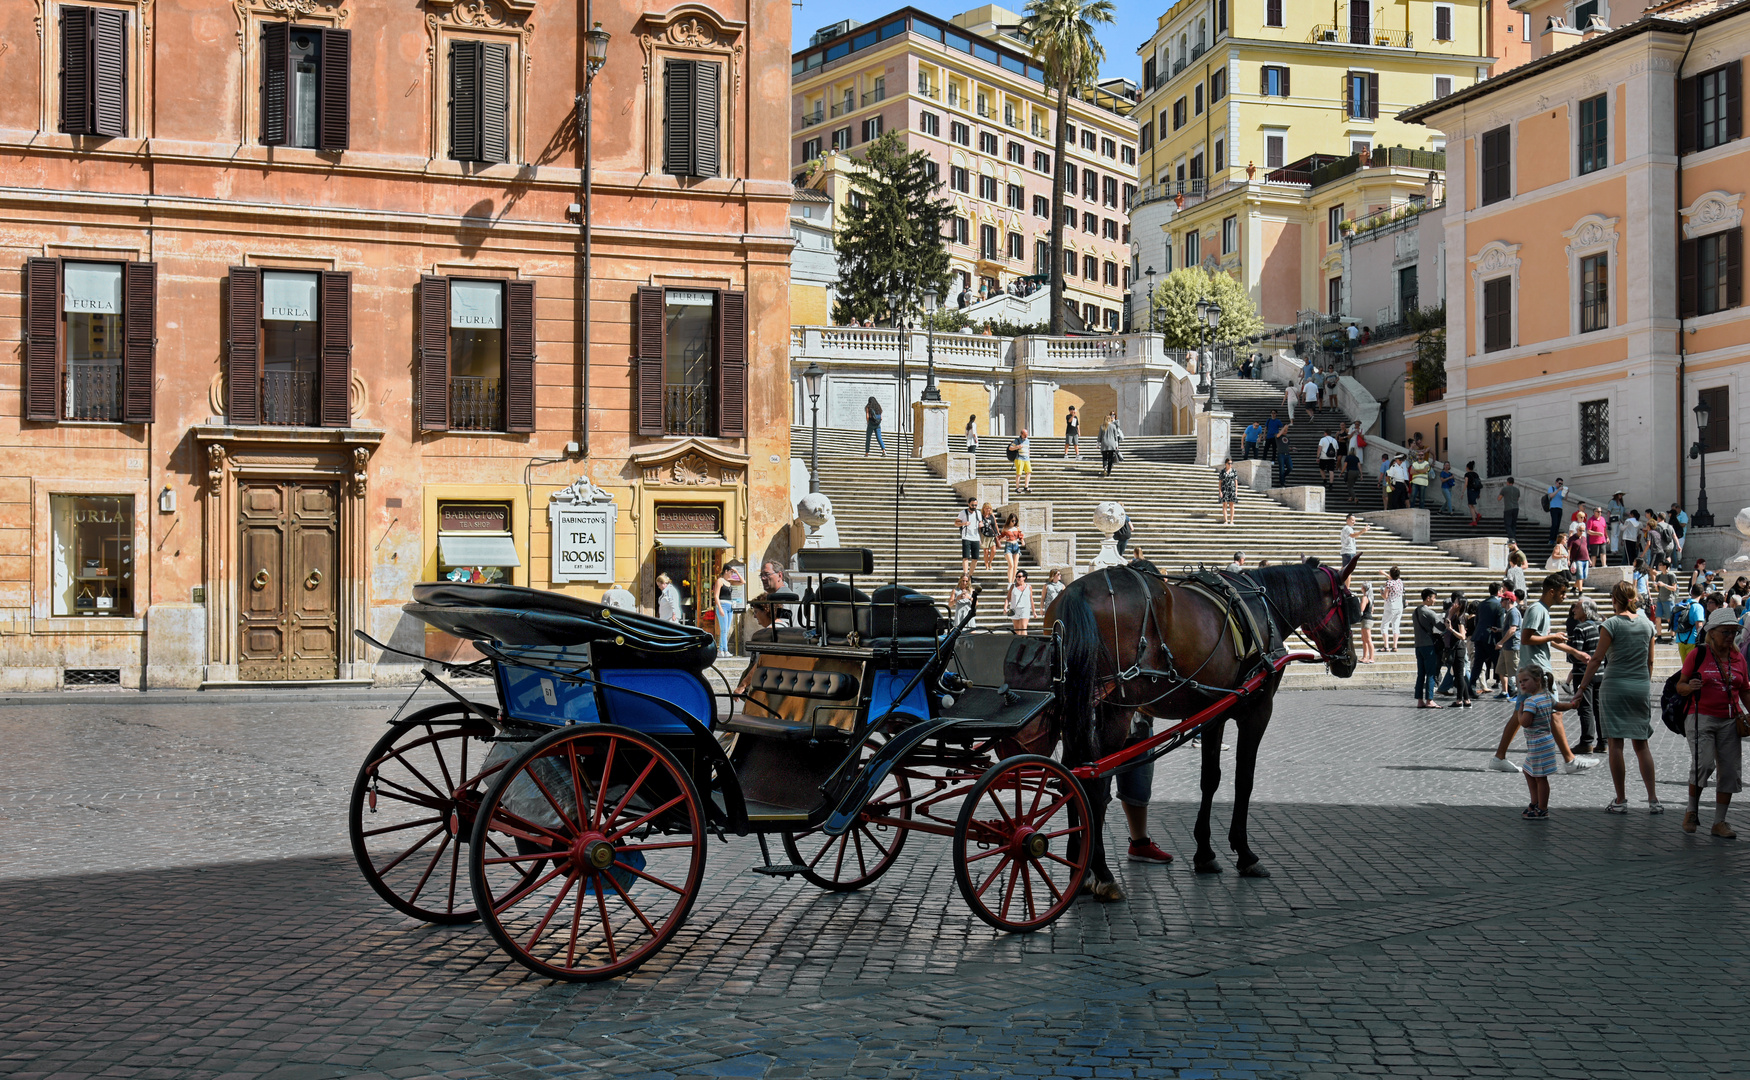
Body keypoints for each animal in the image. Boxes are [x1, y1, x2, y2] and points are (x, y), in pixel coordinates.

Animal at [1043, 556, 1358, 892]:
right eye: (1350, 604)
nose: (1350, 661)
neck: (1261, 607)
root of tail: (1078, 590)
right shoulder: (1257, 711)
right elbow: (1244, 779)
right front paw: (1245, 853)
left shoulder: (1213, 713)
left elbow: (1210, 778)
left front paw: (1205, 853)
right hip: (1114, 710)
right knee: (1094, 780)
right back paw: (1101, 872)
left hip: (1074, 707)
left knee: (1070, 772)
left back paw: (1077, 863)